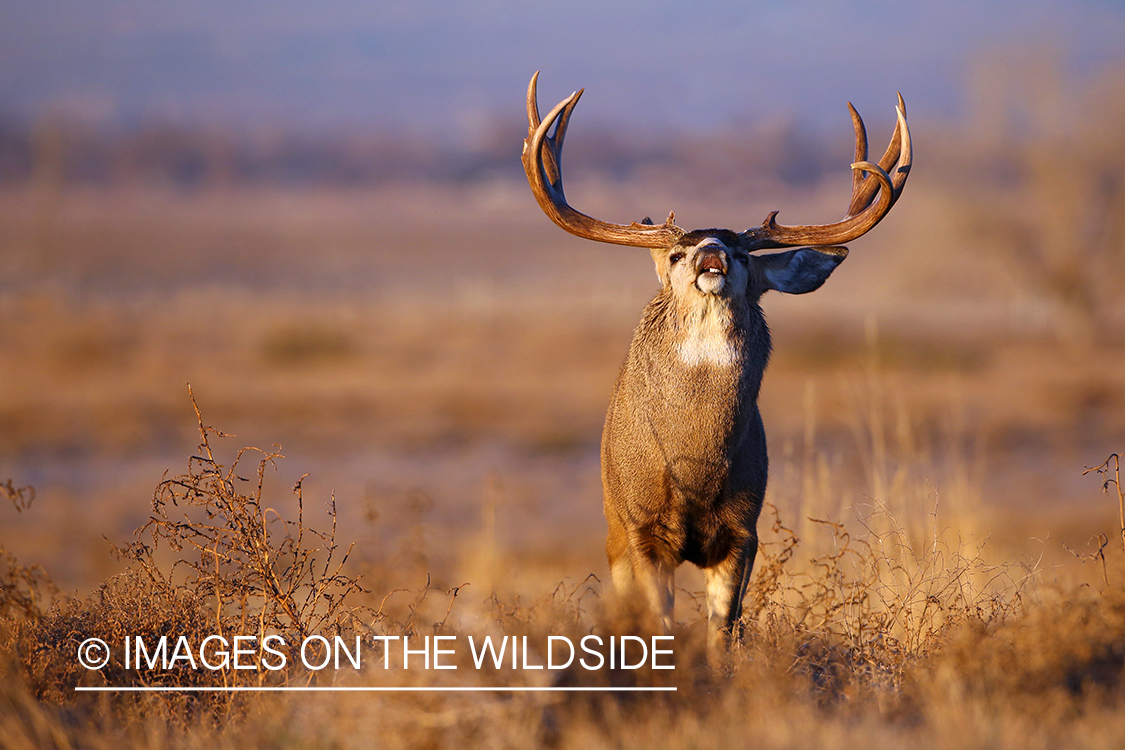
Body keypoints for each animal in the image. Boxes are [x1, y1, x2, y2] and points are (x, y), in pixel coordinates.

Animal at [522, 73, 909, 652]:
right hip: (613, 528)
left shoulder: (742, 531)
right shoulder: (644, 528)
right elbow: (658, 621)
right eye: (677, 254)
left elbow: (722, 629)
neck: (696, 470)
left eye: (745, 254)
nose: (712, 254)